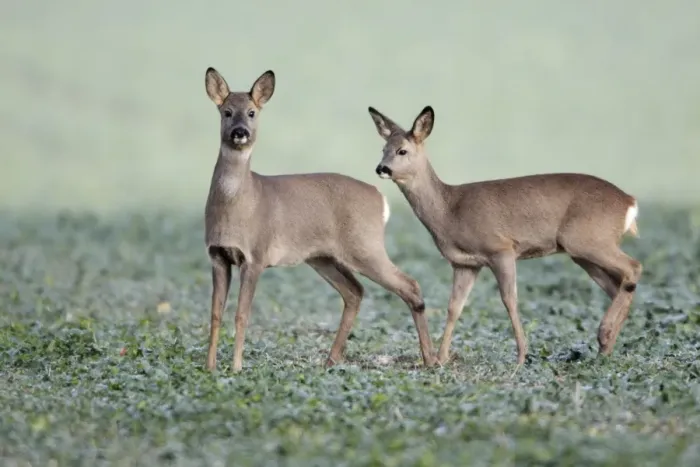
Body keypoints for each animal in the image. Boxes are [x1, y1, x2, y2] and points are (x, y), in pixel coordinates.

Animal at [202, 67, 436, 372]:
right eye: (226, 111)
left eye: (252, 112)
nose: (240, 132)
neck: (239, 203)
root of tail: (380, 198)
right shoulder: (217, 256)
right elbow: (215, 314)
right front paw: (210, 368)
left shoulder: (255, 256)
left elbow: (242, 314)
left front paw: (236, 368)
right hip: (323, 257)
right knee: (355, 291)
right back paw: (331, 359)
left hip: (364, 246)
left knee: (409, 285)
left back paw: (430, 359)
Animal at [367, 105, 642, 366]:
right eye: (383, 148)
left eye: (402, 151)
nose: (381, 168)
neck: (449, 210)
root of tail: (629, 202)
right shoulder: (465, 264)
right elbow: (454, 306)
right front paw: (441, 359)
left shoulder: (501, 249)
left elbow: (509, 300)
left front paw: (521, 357)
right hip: (583, 251)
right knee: (617, 285)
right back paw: (605, 347)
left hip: (587, 240)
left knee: (634, 267)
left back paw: (604, 334)